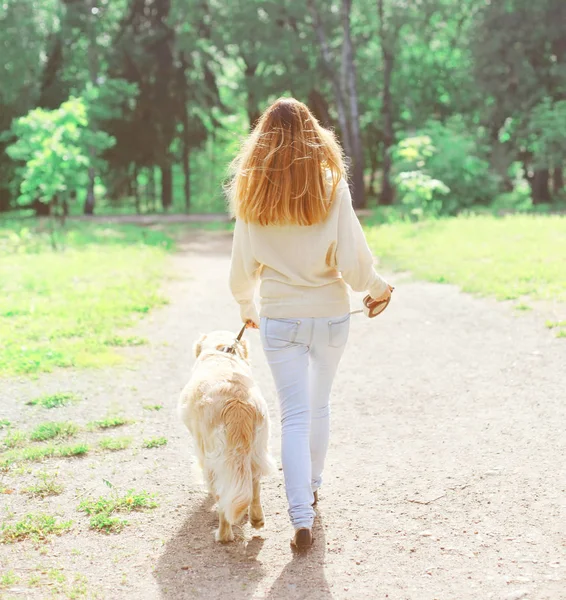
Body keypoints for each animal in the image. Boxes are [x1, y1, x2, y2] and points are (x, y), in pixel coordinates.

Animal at [179, 330, 274, 540]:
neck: (221, 350)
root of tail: (237, 403)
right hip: (257, 451)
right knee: (254, 485)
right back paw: (256, 520)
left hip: (213, 459)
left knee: (222, 496)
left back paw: (223, 535)